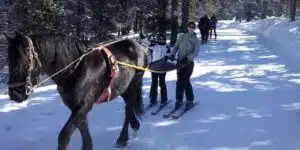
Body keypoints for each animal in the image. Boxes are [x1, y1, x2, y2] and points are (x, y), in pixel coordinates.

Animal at [4, 31, 148, 149]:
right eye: (9, 61)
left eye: (25, 61)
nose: (15, 94)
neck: (75, 69)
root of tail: (138, 46)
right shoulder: (75, 106)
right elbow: (82, 127)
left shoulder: (83, 105)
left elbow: (64, 136)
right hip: (123, 87)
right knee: (129, 105)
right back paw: (135, 125)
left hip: (134, 84)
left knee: (128, 108)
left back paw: (123, 138)